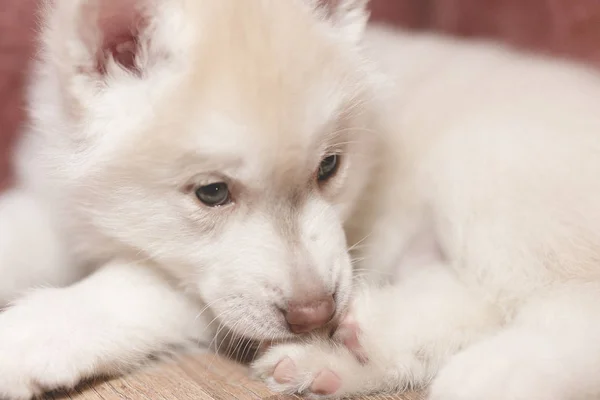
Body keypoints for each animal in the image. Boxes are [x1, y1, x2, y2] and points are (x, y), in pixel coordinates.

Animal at [1, 0, 600, 400]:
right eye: (212, 192)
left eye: (329, 166)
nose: (317, 314)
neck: (103, 218)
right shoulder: (56, 207)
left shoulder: (203, 293)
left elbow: (129, 285)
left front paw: (29, 334)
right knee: (467, 301)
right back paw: (344, 353)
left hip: (486, 172)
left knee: (563, 306)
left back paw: (499, 373)